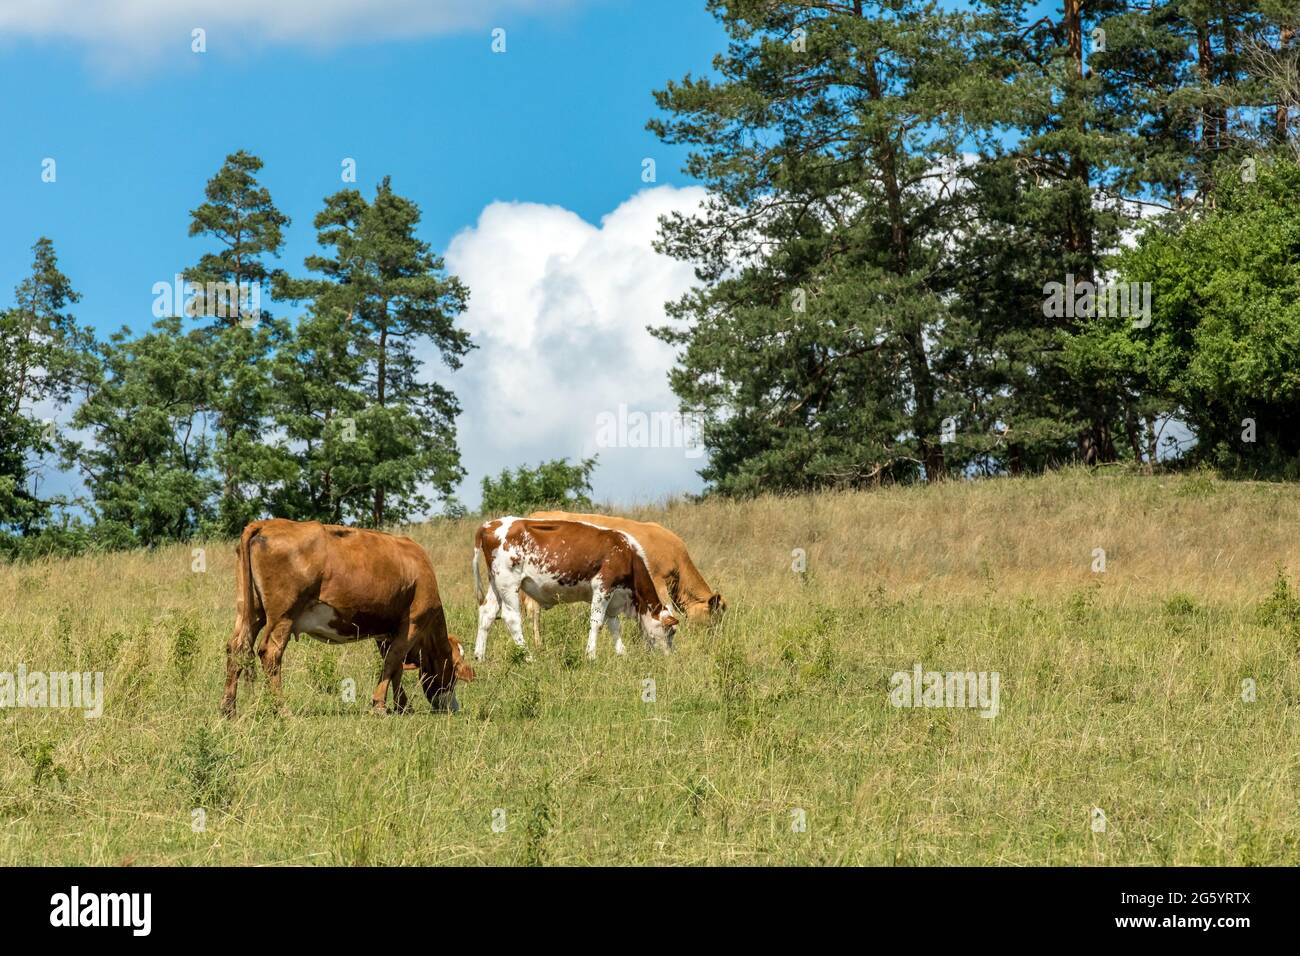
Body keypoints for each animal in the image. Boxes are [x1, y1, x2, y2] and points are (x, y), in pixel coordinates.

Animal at [220, 519, 474, 718]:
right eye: (454, 671)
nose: (453, 707)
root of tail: (266, 523)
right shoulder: (413, 622)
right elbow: (392, 662)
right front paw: (380, 706)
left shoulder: (386, 633)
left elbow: (395, 667)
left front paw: (402, 706)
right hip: (283, 614)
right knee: (271, 653)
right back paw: (282, 709)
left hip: (250, 611)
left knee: (237, 647)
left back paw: (228, 708)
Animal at [472, 517, 678, 661]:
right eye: (671, 632)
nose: (670, 657)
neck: (627, 553)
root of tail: (489, 525)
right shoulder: (603, 586)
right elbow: (597, 623)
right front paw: (591, 656)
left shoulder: (615, 596)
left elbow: (614, 625)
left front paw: (622, 654)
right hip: (509, 583)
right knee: (511, 618)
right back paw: (528, 657)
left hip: (495, 582)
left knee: (487, 613)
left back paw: (479, 656)